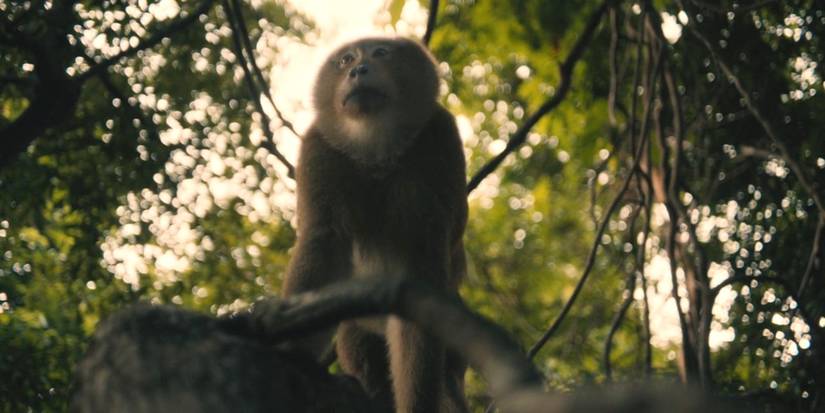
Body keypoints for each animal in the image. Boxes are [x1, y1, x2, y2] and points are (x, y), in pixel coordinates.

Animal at [281, 36, 469, 413]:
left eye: (381, 52)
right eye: (345, 59)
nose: (358, 69)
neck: (376, 150)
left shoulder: (440, 140)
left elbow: (422, 270)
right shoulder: (319, 148)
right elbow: (324, 246)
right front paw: (290, 353)